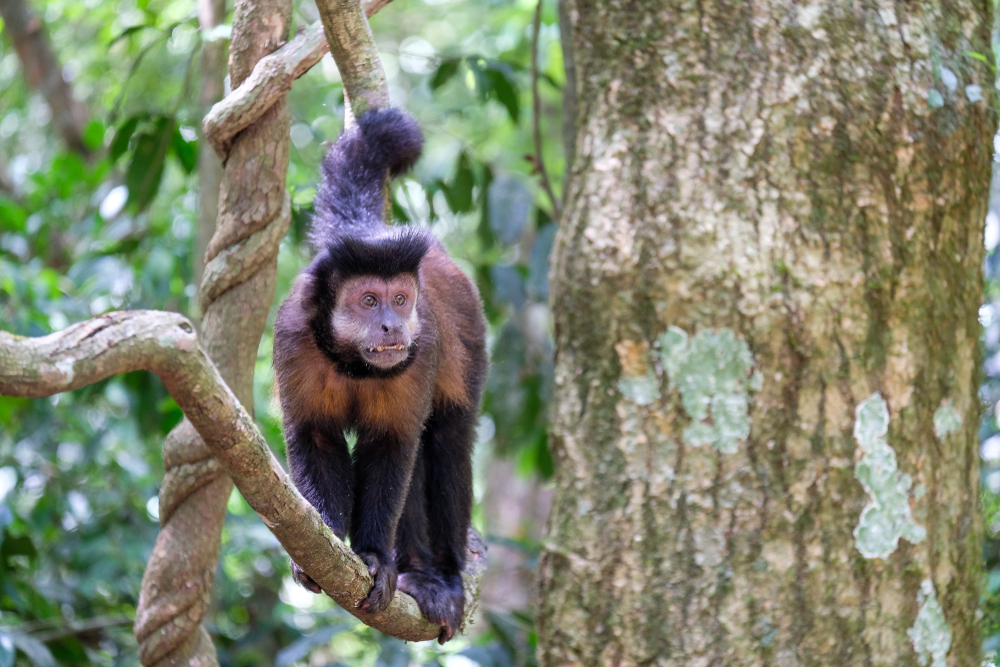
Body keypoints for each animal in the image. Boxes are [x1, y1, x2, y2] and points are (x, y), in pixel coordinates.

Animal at [272, 109, 490, 648]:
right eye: (369, 301)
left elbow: (394, 446)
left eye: (400, 300)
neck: (353, 360)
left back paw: (438, 577)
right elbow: (316, 437)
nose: (392, 325)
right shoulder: (293, 337)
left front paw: (373, 554)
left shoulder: (420, 349)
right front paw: (322, 544)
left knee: (445, 443)